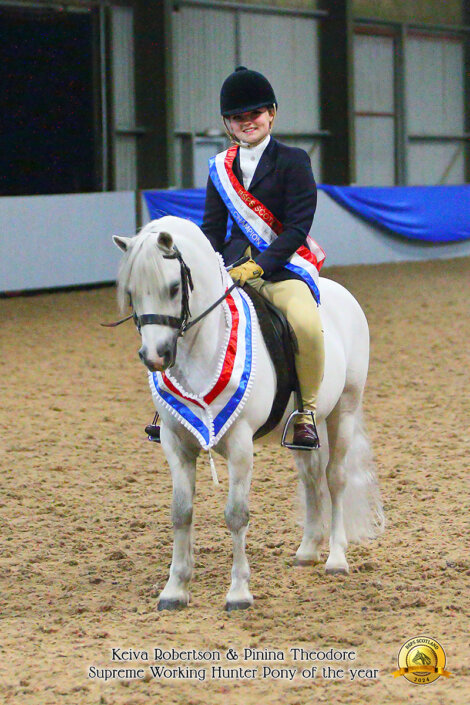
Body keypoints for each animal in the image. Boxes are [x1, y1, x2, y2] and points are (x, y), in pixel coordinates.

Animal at [112, 214, 384, 612]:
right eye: (131, 292)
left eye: (175, 287)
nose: (155, 357)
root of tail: (340, 293)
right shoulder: (175, 443)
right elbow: (181, 512)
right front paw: (175, 589)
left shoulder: (241, 444)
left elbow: (236, 514)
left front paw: (239, 592)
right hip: (305, 427)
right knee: (311, 478)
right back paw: (307, 551)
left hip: (344, 410)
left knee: (335, 479)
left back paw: (336, 558)